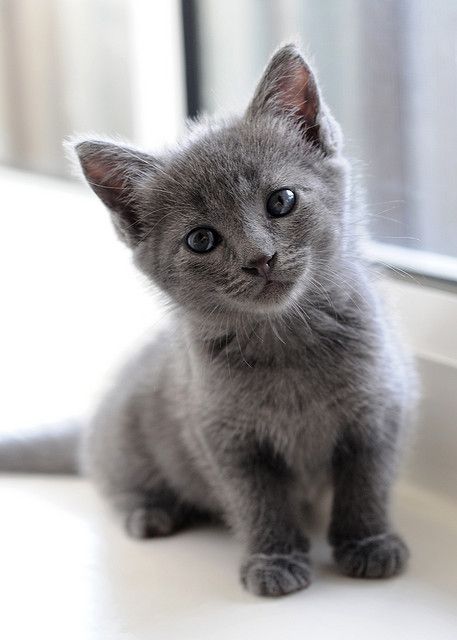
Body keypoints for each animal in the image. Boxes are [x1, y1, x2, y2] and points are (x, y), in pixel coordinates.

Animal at [0, 45, 414, 596]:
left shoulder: (379, 410)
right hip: (127, 438)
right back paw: (150, 512)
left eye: (281, 200)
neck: (286, 345)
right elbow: (257, 502)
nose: (260, 259)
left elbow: (366, 483)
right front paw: (274, 559)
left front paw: (368, 542)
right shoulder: (223, 440)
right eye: (201, 239)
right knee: (109, 477)